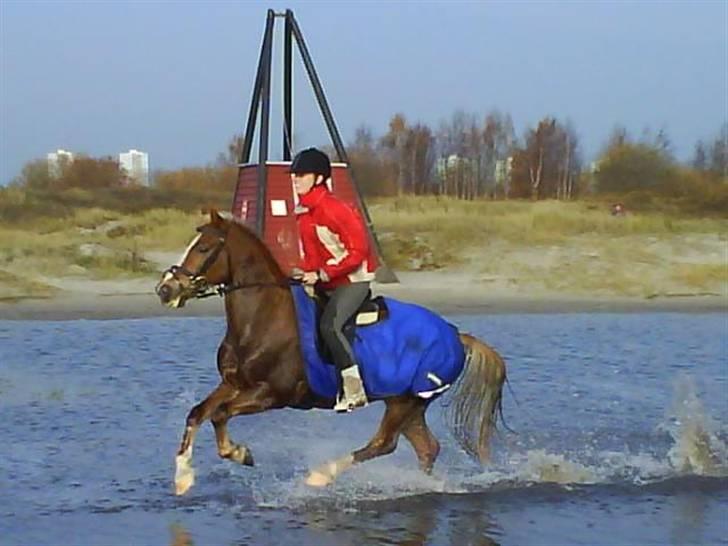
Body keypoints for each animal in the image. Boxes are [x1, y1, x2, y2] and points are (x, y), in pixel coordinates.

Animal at [154, 208, 506, 492]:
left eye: (203, 248)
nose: (165, 289)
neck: (263, 319)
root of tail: (455, 334)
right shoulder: (234, 384)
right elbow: (198, 413)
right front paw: (183, 477)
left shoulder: (271, 394)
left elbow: (220, 415)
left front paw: (240, 454)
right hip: (408, 404)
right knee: (426, 448)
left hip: (405, 402)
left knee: (383, 443)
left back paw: (321, 475)